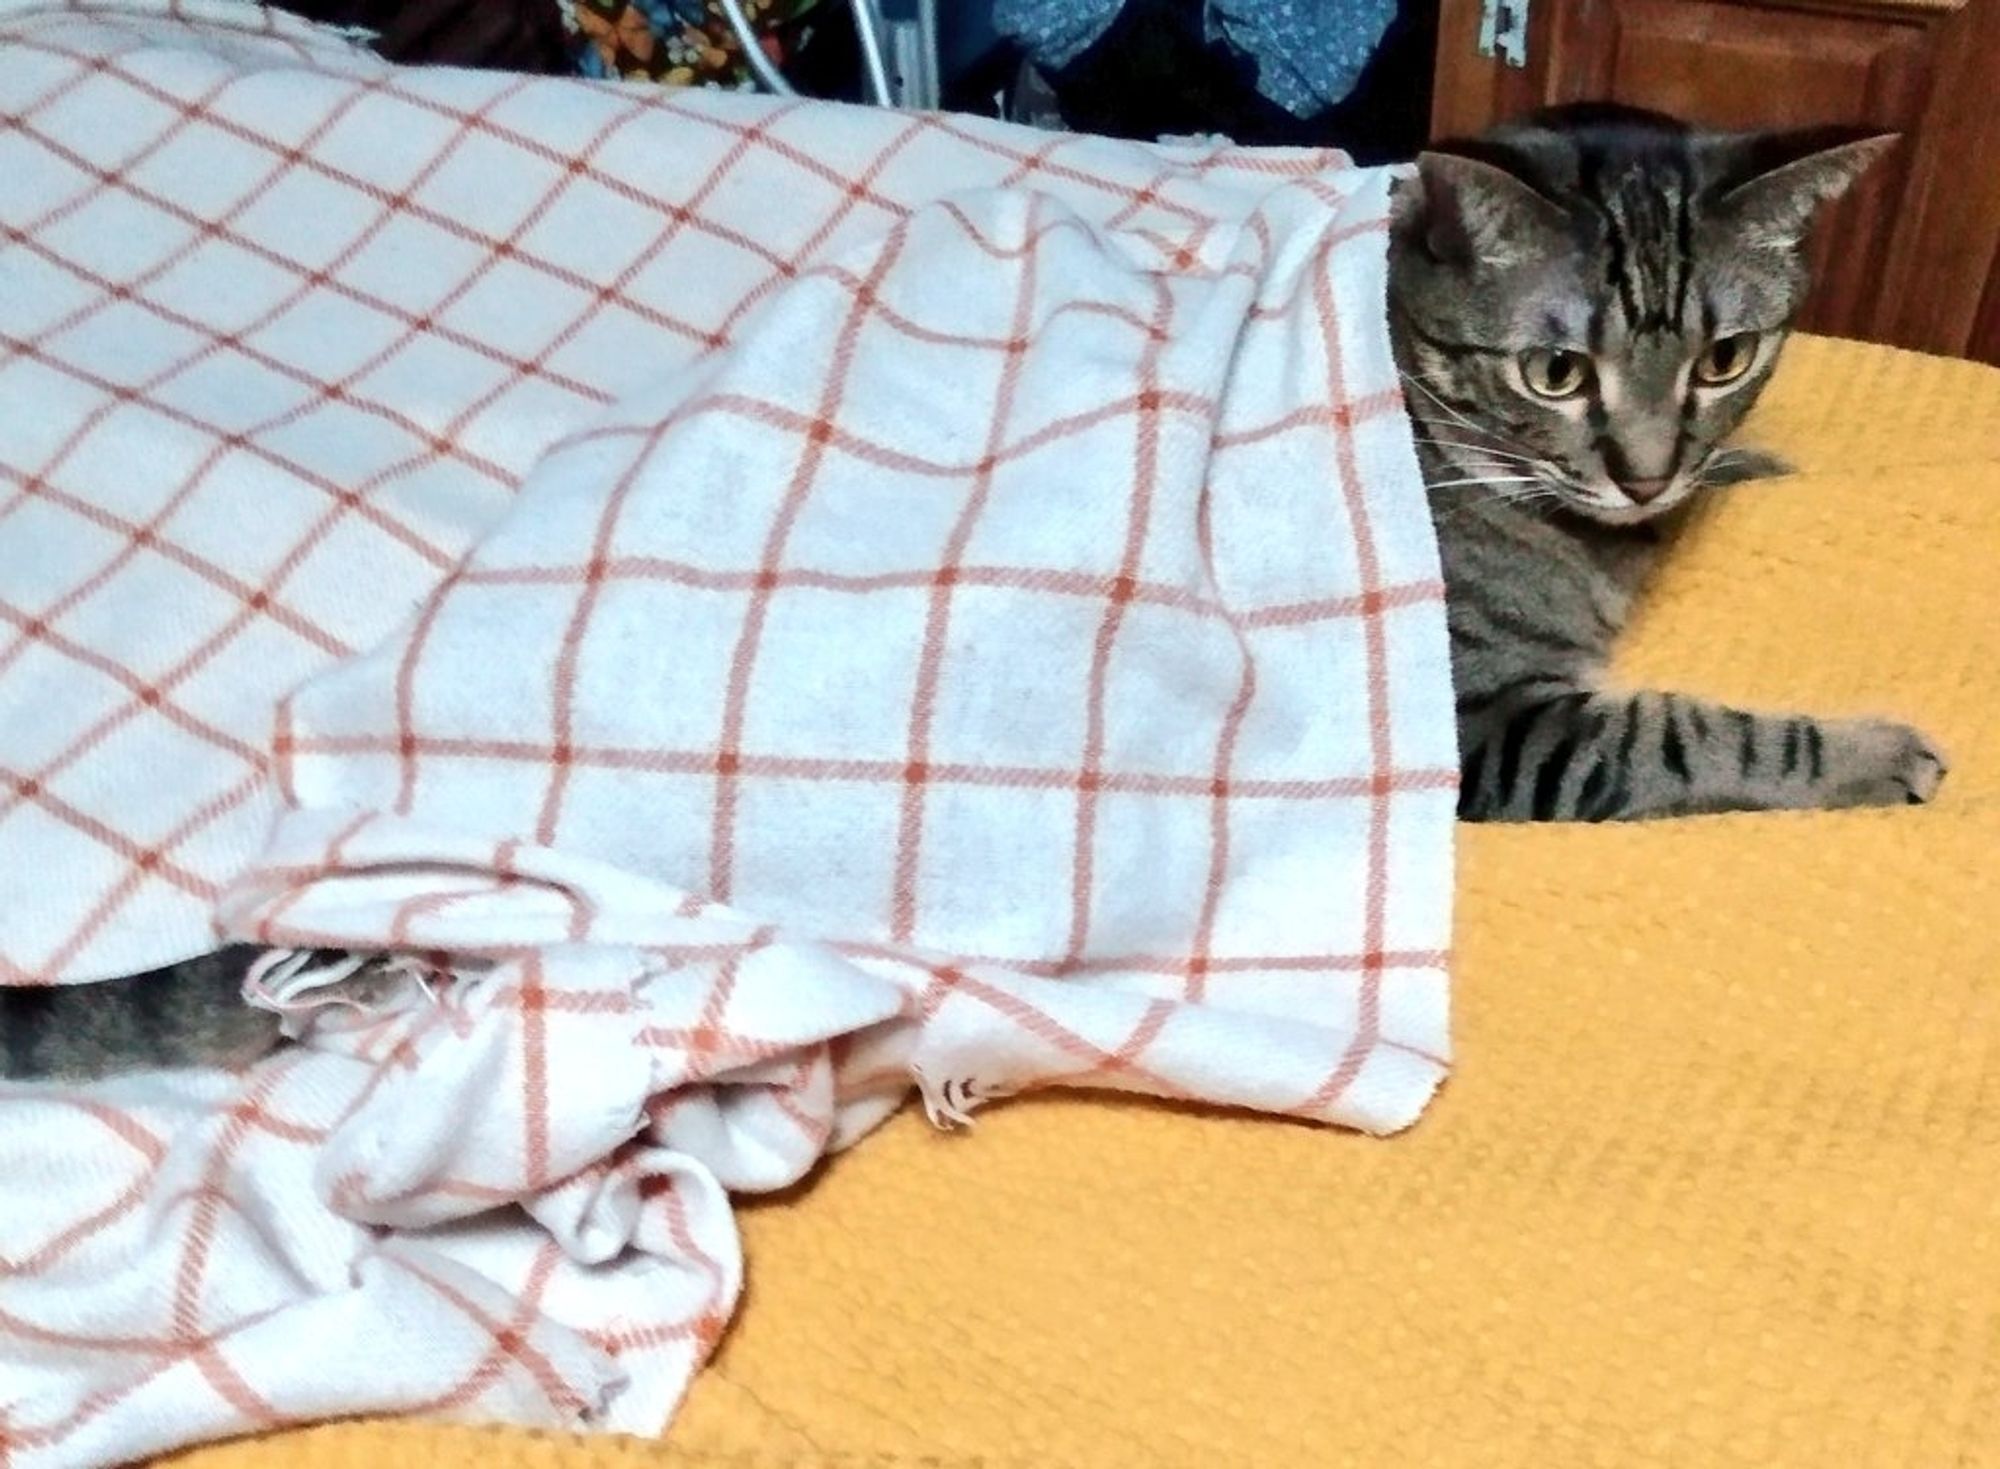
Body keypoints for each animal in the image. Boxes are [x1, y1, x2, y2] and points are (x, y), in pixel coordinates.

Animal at [0, 103, 1936, 1088]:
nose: (1647, 462)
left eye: (1725, 354)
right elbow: (1698, 735)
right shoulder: (1493, 724)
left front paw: (1747, 473)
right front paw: (1880, 748)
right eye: (1552, 372)